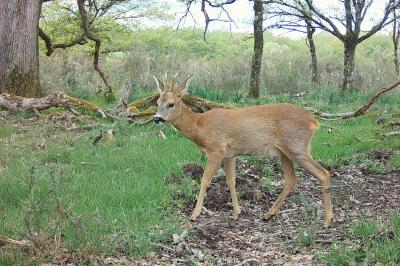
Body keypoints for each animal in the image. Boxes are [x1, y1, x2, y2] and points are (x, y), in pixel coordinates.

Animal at [153, 74, 334, 227]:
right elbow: (231, 181)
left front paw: (195, 215)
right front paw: (236, 213)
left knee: (323, 173)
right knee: (291, 179)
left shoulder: (216, 150)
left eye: (171, 104)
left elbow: (205, 180)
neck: (198, 125)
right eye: (157, 103)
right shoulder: (229, 155)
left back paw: (327, 220)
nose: (156, 118)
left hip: (296, 145)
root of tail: (313, 121)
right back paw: (268, 214)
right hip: (285, 151)